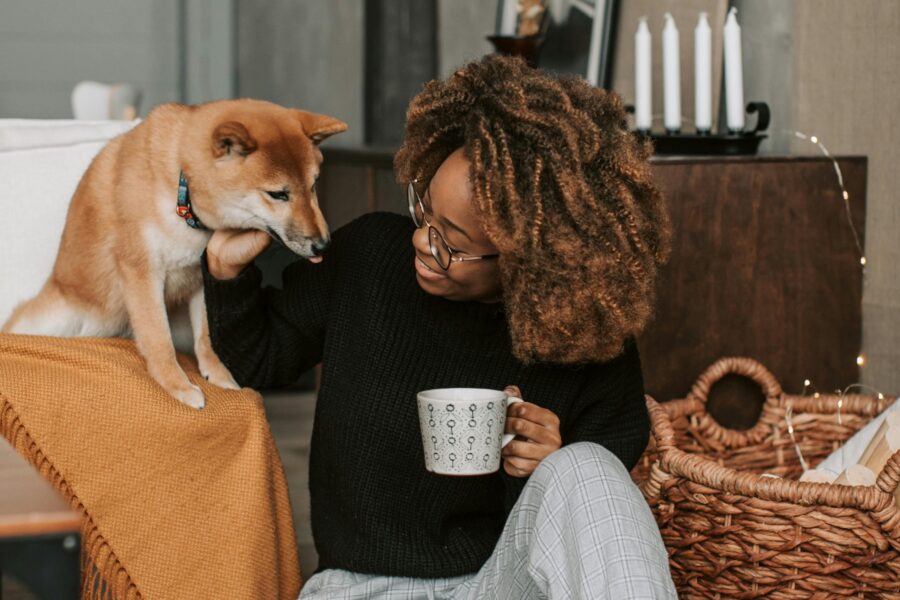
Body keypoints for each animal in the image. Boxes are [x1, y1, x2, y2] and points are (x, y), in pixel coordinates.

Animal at [2, 99, 348, 408]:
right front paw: (177, 386)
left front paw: (219, 376)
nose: (324, 244)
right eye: (278, 194)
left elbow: (207, 337)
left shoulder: (200, 278)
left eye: (313, 186)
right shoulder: (142, 273)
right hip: (52, 320)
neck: (181, 195)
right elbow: (159, 340)